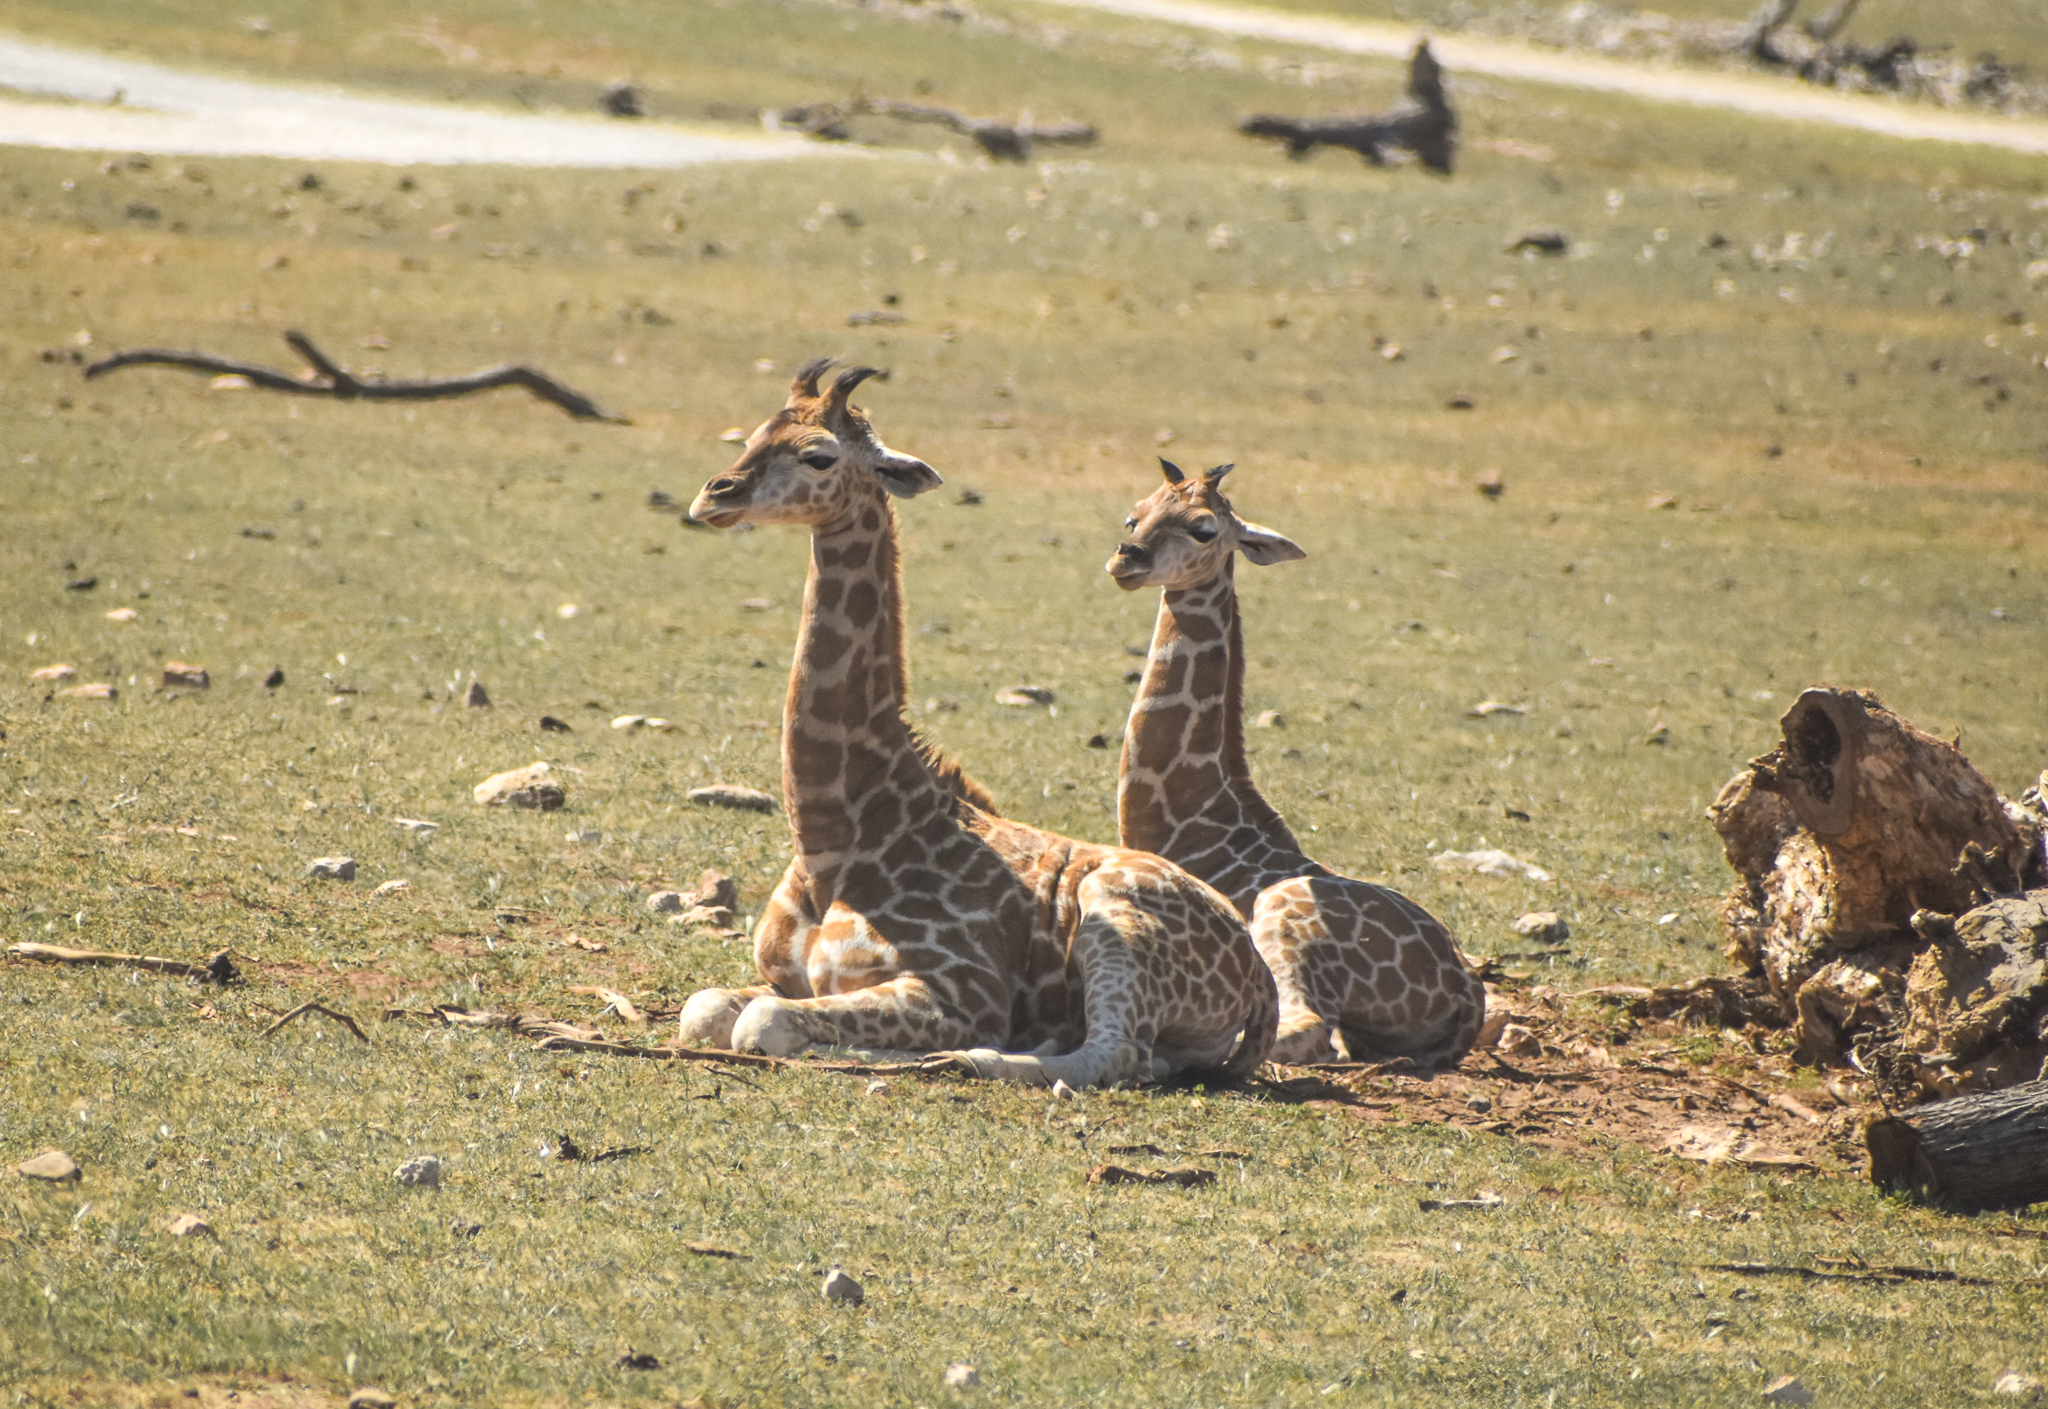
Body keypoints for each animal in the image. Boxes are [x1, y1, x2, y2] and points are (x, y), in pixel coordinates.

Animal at [676, 362, 1277, 1087]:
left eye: (818, 455)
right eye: (754, 434)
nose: (715, 495)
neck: (836, 836)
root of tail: (1259, 971)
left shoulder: (960, 990)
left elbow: (762, 1023)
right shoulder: (782, 975)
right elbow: (707, 1007)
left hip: (1111, 914)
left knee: (1114, 1051)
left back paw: (965, 1057)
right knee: (1147, 1057)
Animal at [1107, 459, 1484, 1070]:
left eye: (1204, 529)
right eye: (1133, 515)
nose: (1126, 559)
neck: (1187, 818)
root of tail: (1466, 989)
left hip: (1284, 919)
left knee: (1304, 1031)